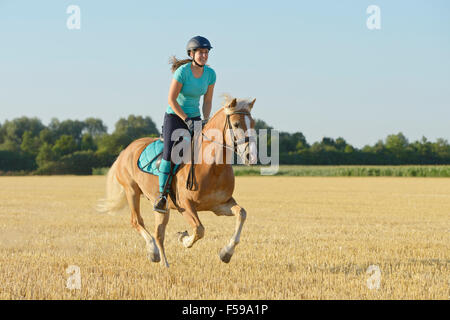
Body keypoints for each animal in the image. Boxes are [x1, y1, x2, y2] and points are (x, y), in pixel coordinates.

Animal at [98, 95, 256, 268]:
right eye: (236, 124)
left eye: (253, 124)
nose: (250, 156)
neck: (213, 167)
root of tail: (126, 150)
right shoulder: (185, 205)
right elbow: (199, 229)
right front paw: (184, 239)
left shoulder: (219, 205)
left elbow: (242, 213)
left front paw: (226, 253)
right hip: (131, 191)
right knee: (137, 221)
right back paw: (153, 252)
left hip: (162, 207)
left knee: (159, 233)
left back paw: (164, 263)